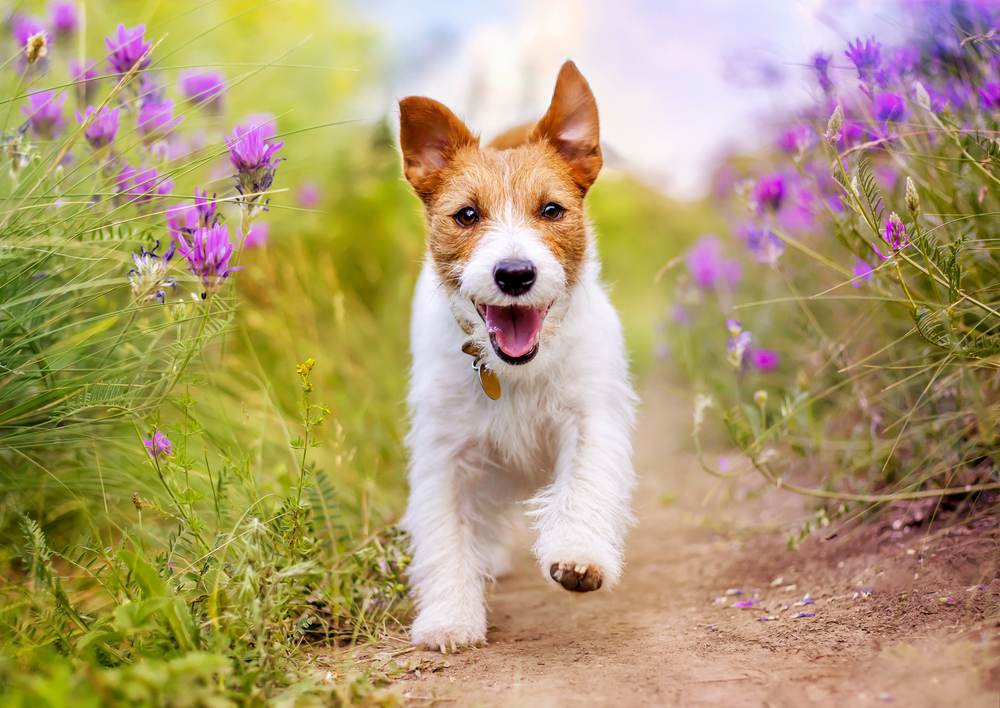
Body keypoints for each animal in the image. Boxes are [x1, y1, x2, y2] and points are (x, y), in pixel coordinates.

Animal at [396, 62, 632, 652]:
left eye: (551, 210)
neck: (511, 372)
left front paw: (578, 555)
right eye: (466, 214)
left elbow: (585, 480)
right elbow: (447, 534)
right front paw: (450, 617)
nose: (515, 274)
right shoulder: (446, 453)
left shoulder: (591, 415)